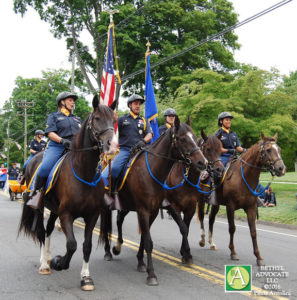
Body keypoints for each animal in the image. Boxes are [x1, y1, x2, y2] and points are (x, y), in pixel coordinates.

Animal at [17, 96, 118, 290]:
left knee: (48, 229)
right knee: (41, 232)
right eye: (97, 119)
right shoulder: (66, 214)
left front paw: (86, 278)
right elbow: (71, 245)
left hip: (53, 209)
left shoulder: (92, 215)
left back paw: (48, 257)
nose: (113, 146)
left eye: (114, 120)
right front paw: (59, 262)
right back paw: (44, 264)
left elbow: (86, 245)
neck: (83, 172)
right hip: (41, 208)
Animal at [163, 130, 223, 264]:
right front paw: (187, 253)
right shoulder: (173, 207)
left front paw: (185, 253)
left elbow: (186, 228)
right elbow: (183, 227)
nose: (220, 169)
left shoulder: (190, 207)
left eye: (221, 149)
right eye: (208, 149)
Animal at [197, 132, 284, 266]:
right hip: (201, 200)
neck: (243, 178)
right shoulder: (230, 207)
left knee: (211, 219)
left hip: (216, 203)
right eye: (268, 150)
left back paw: (211, 243)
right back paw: (202, 240)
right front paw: (233, 252)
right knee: (202, 217)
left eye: (279, 149)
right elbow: (232, 228)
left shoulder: (251, 208)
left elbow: (253, 232)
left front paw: (259, 257)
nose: (281, 168)